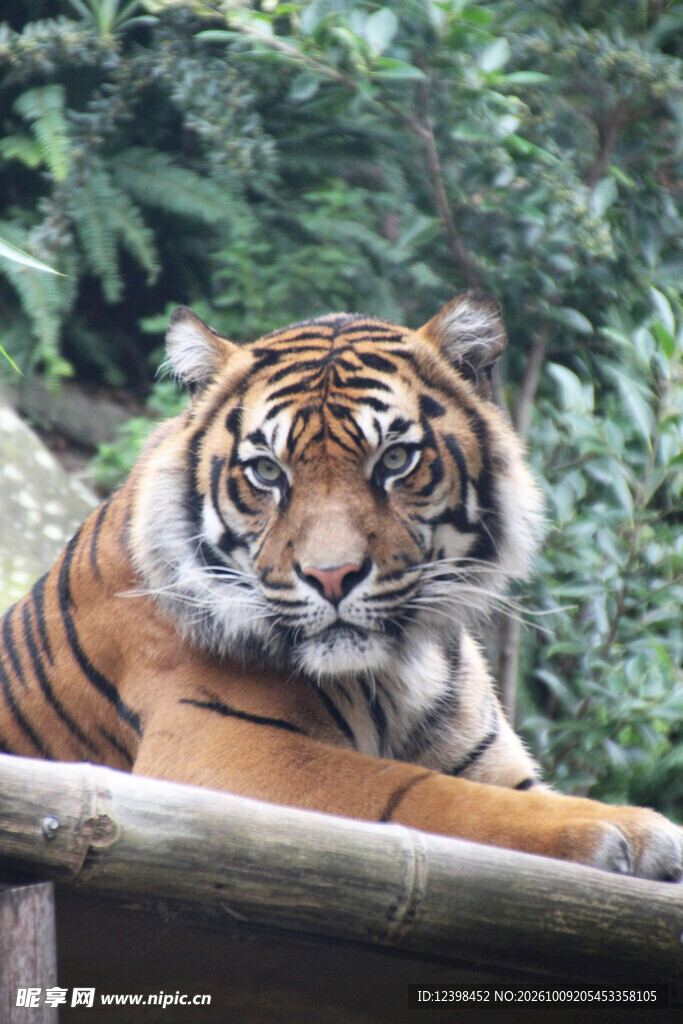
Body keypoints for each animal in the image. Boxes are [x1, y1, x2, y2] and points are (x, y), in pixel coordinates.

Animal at [0, 292, 681, 881]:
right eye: (267, 471)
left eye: (395, 461)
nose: (332, 576)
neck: (396, 672)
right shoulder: (222, 749)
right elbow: (419, 793)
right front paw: (615, 831)